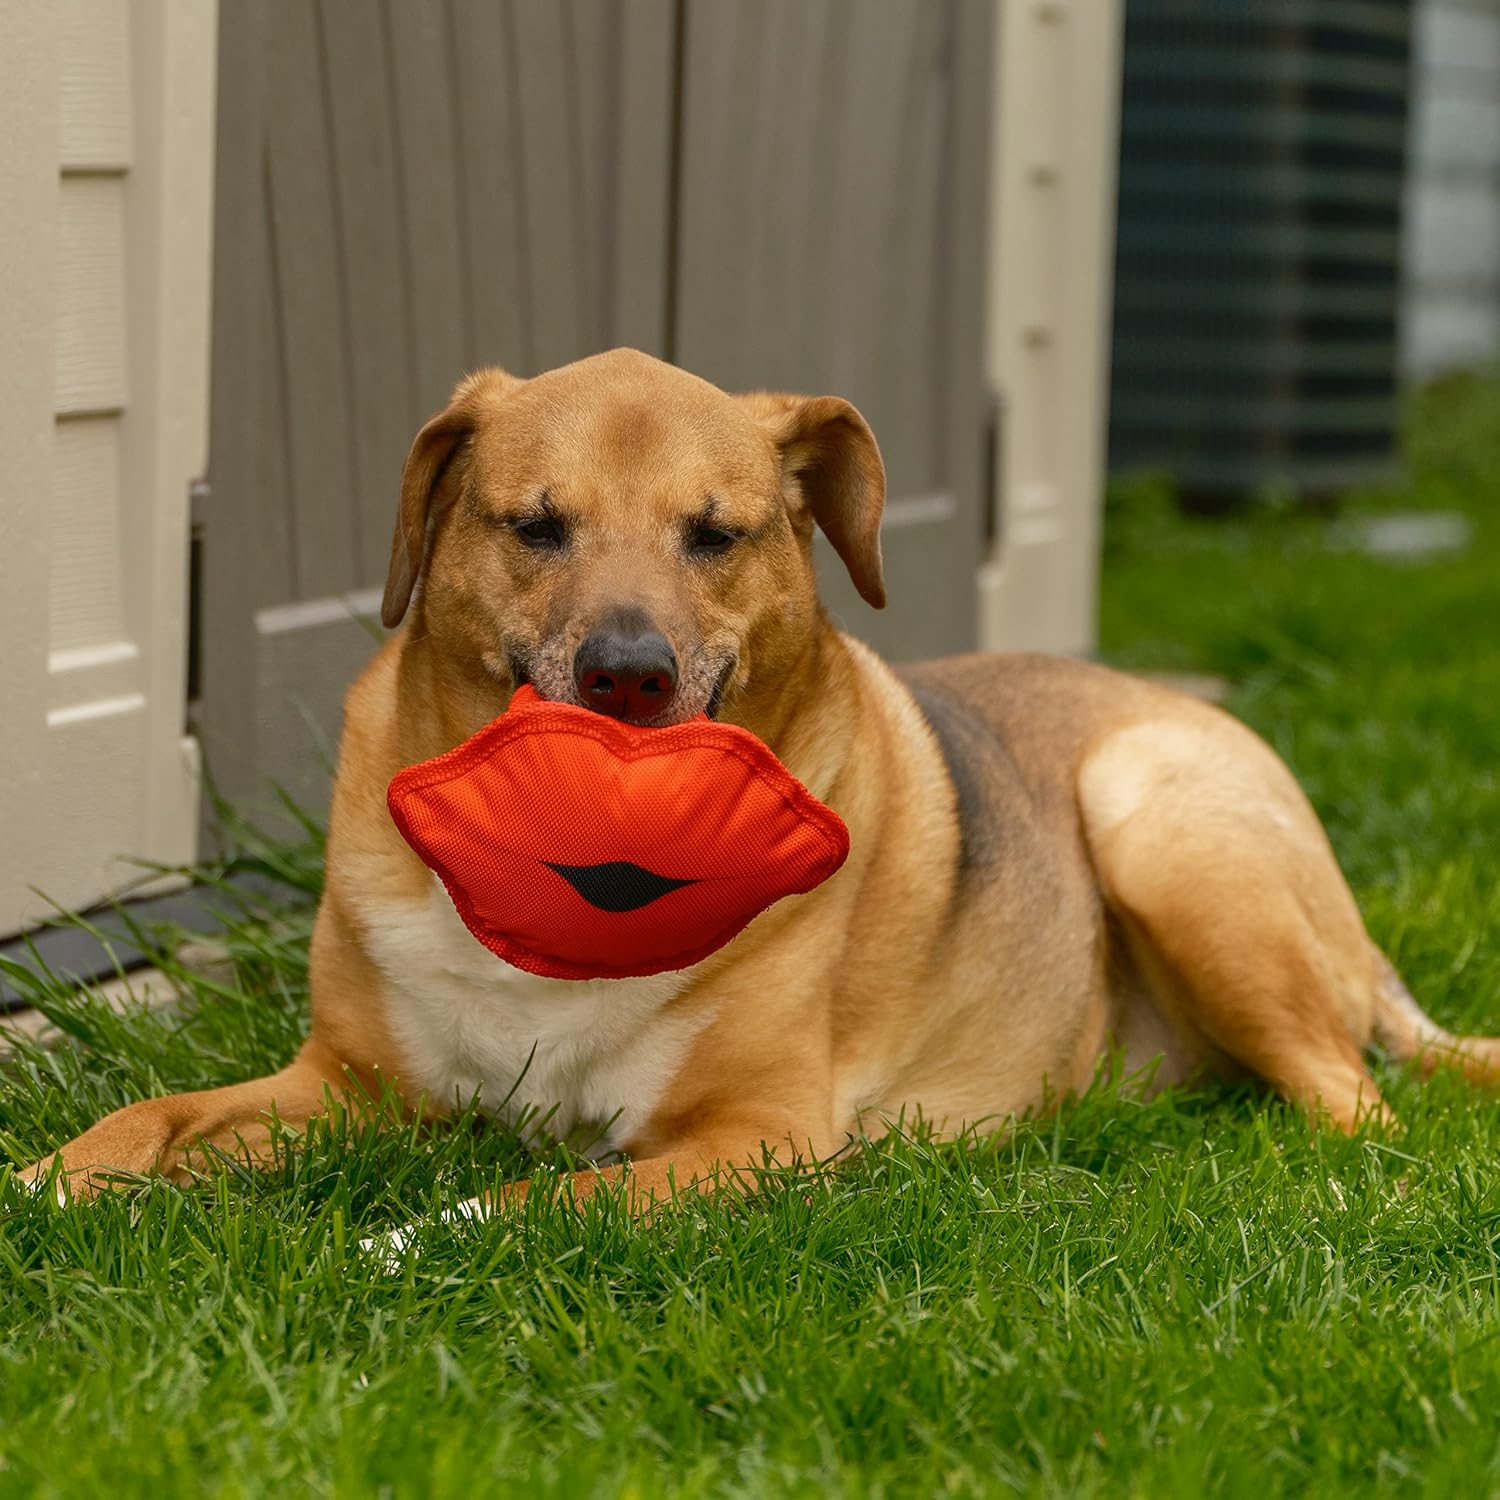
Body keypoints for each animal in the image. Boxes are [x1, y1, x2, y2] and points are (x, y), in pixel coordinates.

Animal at [20, 345, 1500, 1212]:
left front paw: (418, 1234)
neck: (570, 885)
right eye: (534, 526)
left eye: (716, 536)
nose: (627, 673)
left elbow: (550, 1200)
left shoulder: (756, 1134)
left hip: (1158, 825)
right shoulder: (350, 1089)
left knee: (1358, 1106)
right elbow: (151, 1114)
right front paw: (58, 1178)